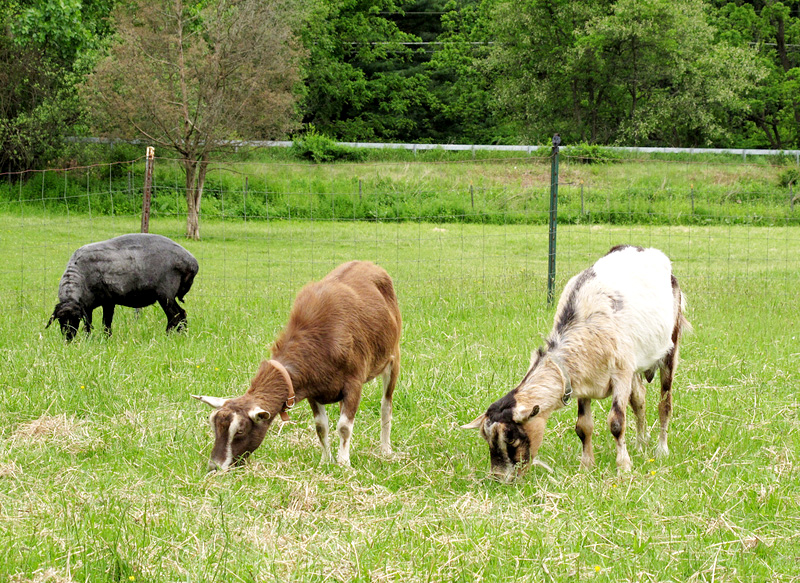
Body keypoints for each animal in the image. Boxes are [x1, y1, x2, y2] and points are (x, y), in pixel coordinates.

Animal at [47, 234, 198, 342]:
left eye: (75, 318)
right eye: (60, 319)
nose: (68, 338)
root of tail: (191, 262)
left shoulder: (108, 301)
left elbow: (106, 323)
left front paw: (106, 340)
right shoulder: (86, 306)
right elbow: (88, 325)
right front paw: (87, 340)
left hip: (165, 294)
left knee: (176, 315)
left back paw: (167, 336)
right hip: (168, 296)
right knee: (181, 314)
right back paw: (182, 335)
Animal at [191, 262, 404, 472]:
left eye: (240, 431)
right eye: (214, 427)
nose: (214, 467)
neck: (320, 342)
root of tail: (370, 265)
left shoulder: (354, 383)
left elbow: (344, 426)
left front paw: (344, 464)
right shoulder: (313, 390)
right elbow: (321, 426)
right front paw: (326, 461)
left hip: (393, 357)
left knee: (386, 406)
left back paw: (386, 449)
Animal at [466, 244, 692, 482]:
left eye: (511, 438)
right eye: (487, 439)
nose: (499, 478)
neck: (586, 328)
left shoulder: (621, 373)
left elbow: (616, 422)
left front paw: (623, 466)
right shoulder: (583, 380)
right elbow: (583, 427)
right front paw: (586, 465)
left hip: (670, 346)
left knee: (665, 403)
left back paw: (661, 449)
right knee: (639, 400)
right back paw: (641, 445)